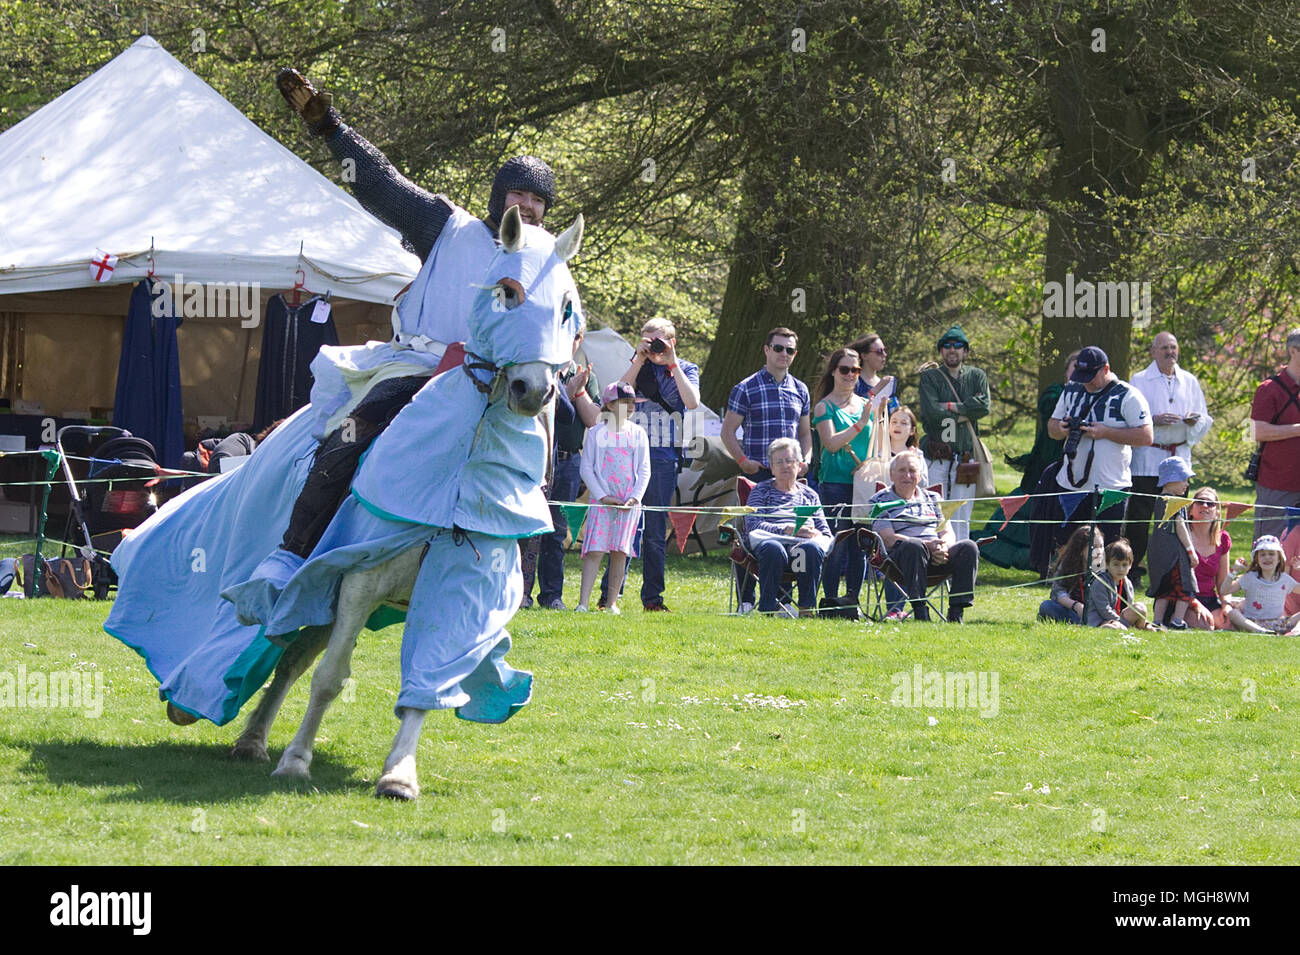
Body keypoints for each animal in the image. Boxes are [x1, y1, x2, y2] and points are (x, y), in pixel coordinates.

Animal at [215, 209, 582, 800]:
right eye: (507, 292)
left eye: (568, 306)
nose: (534, 390)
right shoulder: (359, 581)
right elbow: (330, 678)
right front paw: (296, 760)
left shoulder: (460, 590)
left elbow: (430, 680)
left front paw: (399, 774)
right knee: (294, 658)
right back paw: (255, 738)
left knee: (292, 657)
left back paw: (255, 737)